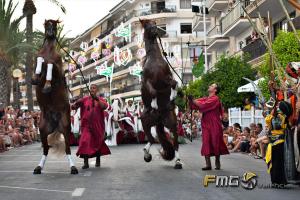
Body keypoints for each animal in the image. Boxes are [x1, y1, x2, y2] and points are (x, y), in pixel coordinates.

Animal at [32, 19, 78, 174]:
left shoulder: (57, 70)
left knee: (68, 149)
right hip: (42, 130)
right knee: (45, 149)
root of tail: (55, 123)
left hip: (66, 127)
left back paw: (73, 168)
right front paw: (36, 77)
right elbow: (40, 60)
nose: (50, 32)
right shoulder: (38, 61)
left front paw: (47, 85)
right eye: (47, 24)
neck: (48, 52)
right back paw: (38, 167)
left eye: (55, 24)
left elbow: (51, 64)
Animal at [139, 19, 182, 169]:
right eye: (148, 26)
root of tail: (159, 120)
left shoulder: (166, 78)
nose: (157, 31)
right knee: (151, 139)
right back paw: (147, 155)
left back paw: (178, 162)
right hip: (145, 122)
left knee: (175, 143)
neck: (155, 59)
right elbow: (152, 92)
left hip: (171, 123)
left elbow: (175, 83)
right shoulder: (148, 81)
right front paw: (153, 104)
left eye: (155, 24)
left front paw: (173, 97)